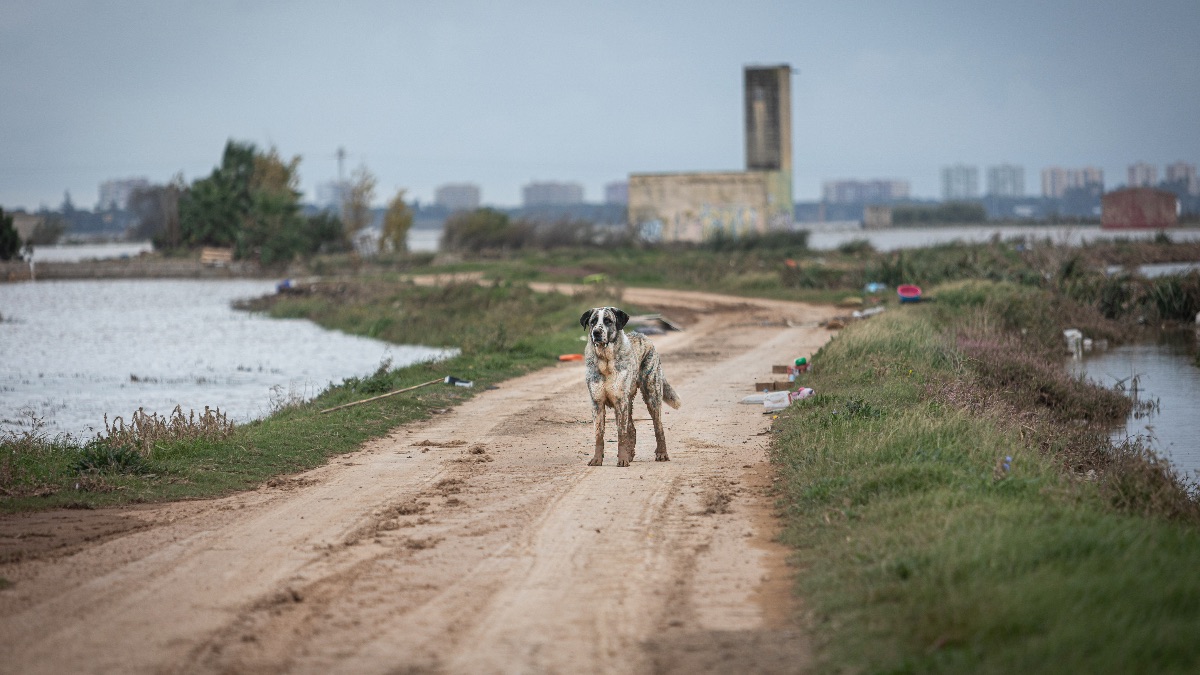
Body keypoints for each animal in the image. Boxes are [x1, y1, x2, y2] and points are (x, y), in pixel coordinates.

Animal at [583, 307, 686, 466]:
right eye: (593, 321)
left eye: (608, 321)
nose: (596, 333)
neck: (605, 360)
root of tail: (644, 335)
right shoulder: (597, 403)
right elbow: (599, 435)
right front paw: (597, 459)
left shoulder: (620, 402)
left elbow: (621, 434)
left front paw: (622, 460)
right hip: (629, 402)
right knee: (632, 428)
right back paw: (630, 454)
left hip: (651, 395)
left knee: (658, 427)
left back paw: (661, 453)